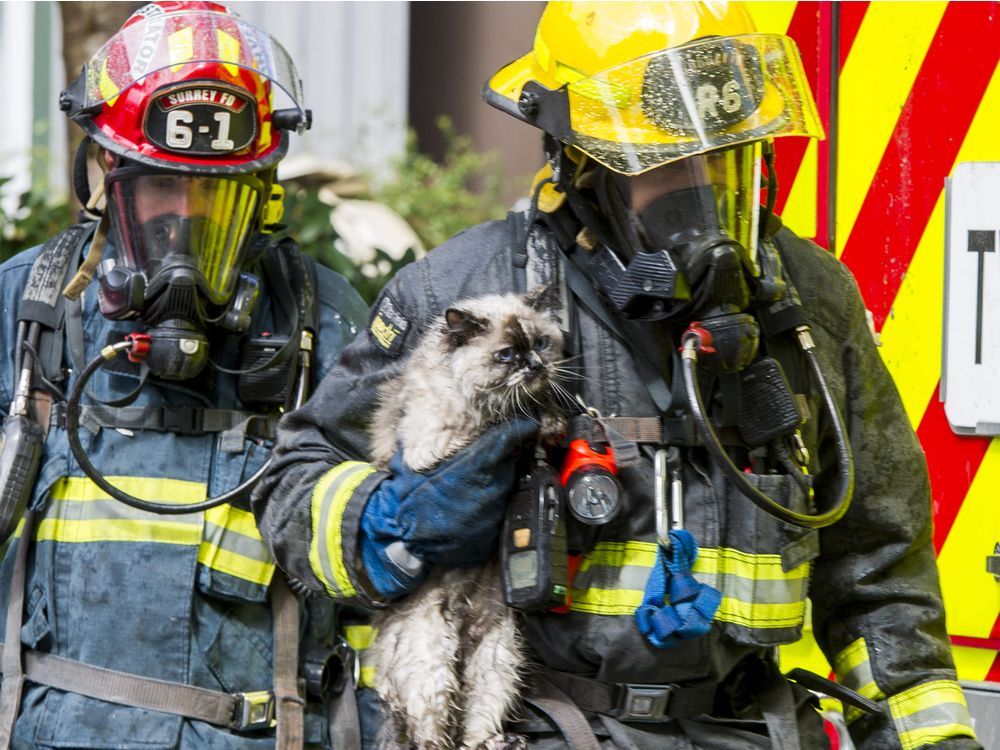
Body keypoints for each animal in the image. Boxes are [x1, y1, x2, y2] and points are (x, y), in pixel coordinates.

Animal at [370, 288, 572, 750]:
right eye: (506, 355)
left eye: (541, 344)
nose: (534, 366)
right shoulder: (434, 447)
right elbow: (492, 427)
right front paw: (525, 421)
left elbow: (540, 416)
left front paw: (551, 419)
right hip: (431, 661)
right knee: (434, 733)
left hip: (498, 656)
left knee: (476, 722)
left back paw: (500, 742)